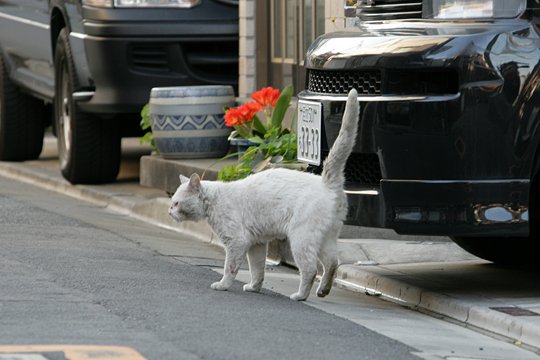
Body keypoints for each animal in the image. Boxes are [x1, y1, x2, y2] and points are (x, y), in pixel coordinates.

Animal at [169, 88, 358, 300]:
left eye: (176, 203)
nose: (169, 211)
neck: (214, 201)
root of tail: (326, 182)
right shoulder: (257, 244)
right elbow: (257, 270)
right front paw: (254, 287)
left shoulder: (237, 242)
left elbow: (230, 268)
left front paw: (223, 285)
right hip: (326, 238)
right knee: (332, 263)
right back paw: (323, 291)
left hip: (301, 239)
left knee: (310, 270)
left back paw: (300, 295)